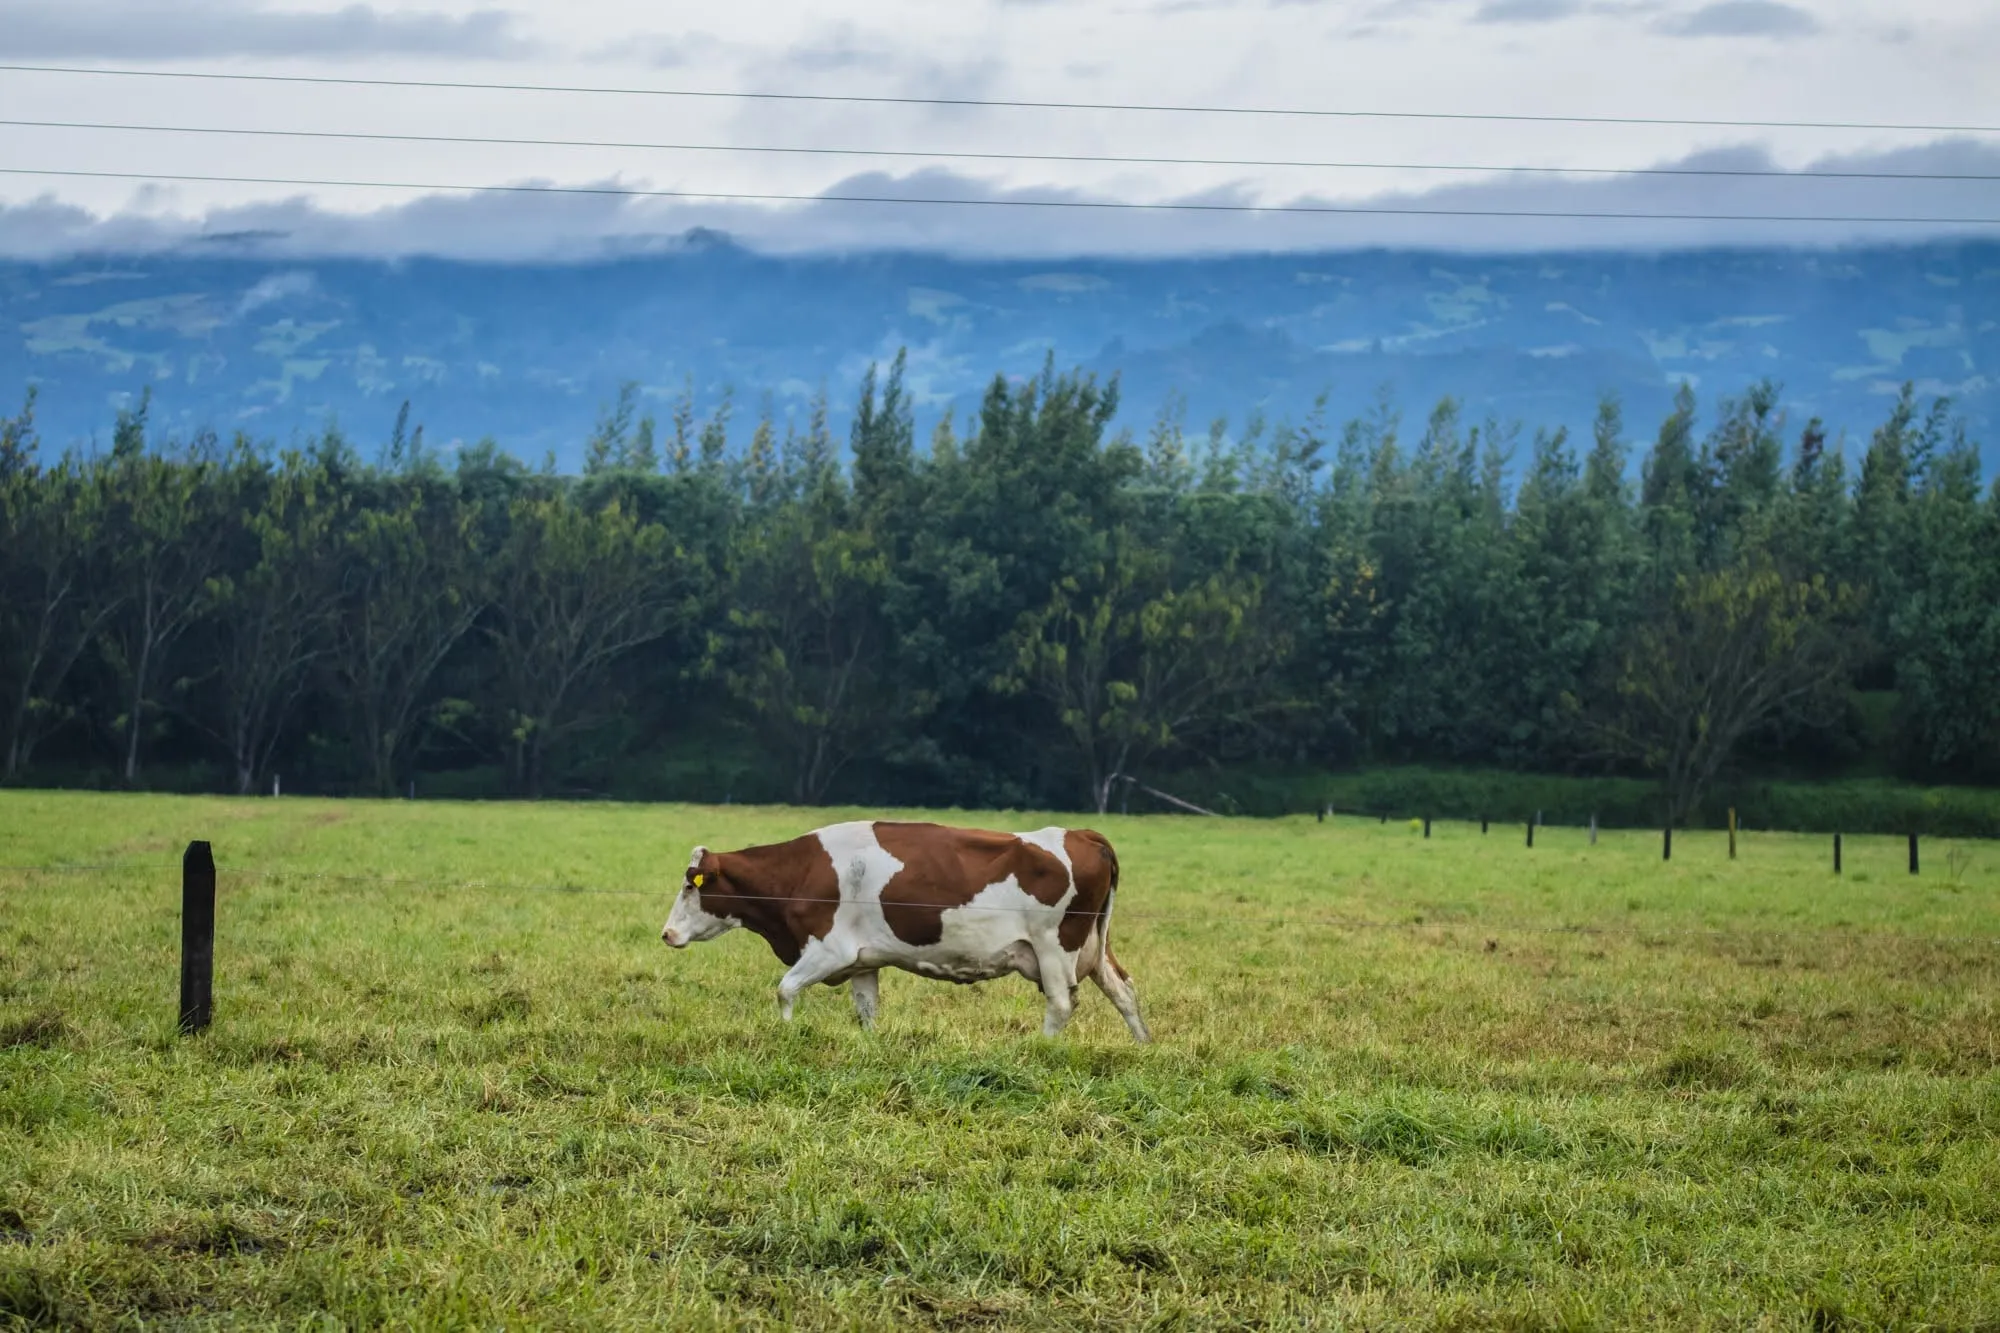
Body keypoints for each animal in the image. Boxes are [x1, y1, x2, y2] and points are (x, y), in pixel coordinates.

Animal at [660, 820, 1150, 1042]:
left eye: (688, 886)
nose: (666, 934)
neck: (802, 872)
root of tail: (1080, 833)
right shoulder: (862, 961)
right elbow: (866, 1010)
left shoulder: (829, 950)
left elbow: (785, 989)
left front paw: (785, 1034)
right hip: (1094, 947)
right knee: (1124, 991)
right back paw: (1142, 1045)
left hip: (1054, 947)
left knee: (1061, 1003)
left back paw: (1043, 1047)